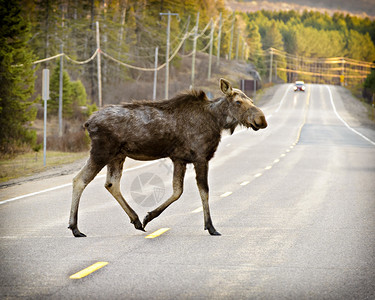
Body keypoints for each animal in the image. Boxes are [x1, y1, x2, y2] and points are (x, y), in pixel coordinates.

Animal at [68, 78, 268, 238]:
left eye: (251, 100)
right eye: (238, 101)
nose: (262, 119)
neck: (217, 121)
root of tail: (88, 123)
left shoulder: (179, 158)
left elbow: (177, 191)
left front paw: (148, 217)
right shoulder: (200, 157)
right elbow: (204, 191)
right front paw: (211, 227)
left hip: (117, 155)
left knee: (111, 184)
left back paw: (136, 220)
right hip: (101, 152)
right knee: (80, 180)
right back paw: (75, 228)